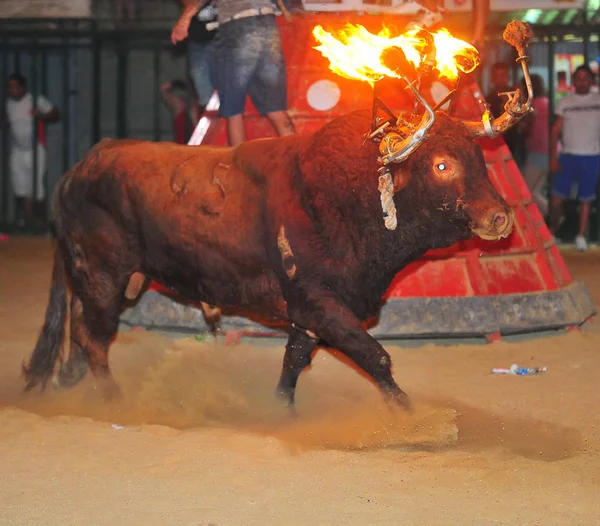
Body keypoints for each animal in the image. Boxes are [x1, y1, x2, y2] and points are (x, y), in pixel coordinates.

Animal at [24, 109, 516, 410]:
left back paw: (71, 386)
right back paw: (114, 399)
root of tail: (79, 169)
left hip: (100, 282)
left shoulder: (310, 313)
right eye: (442, 165)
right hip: (104, 278)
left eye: (479, 158)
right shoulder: (320, 302)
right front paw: (415, 418)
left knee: (80, 333)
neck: (344, 196)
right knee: (92, 337)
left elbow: (293, 362)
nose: (500, 217)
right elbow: (376, 357)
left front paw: (282, 412)